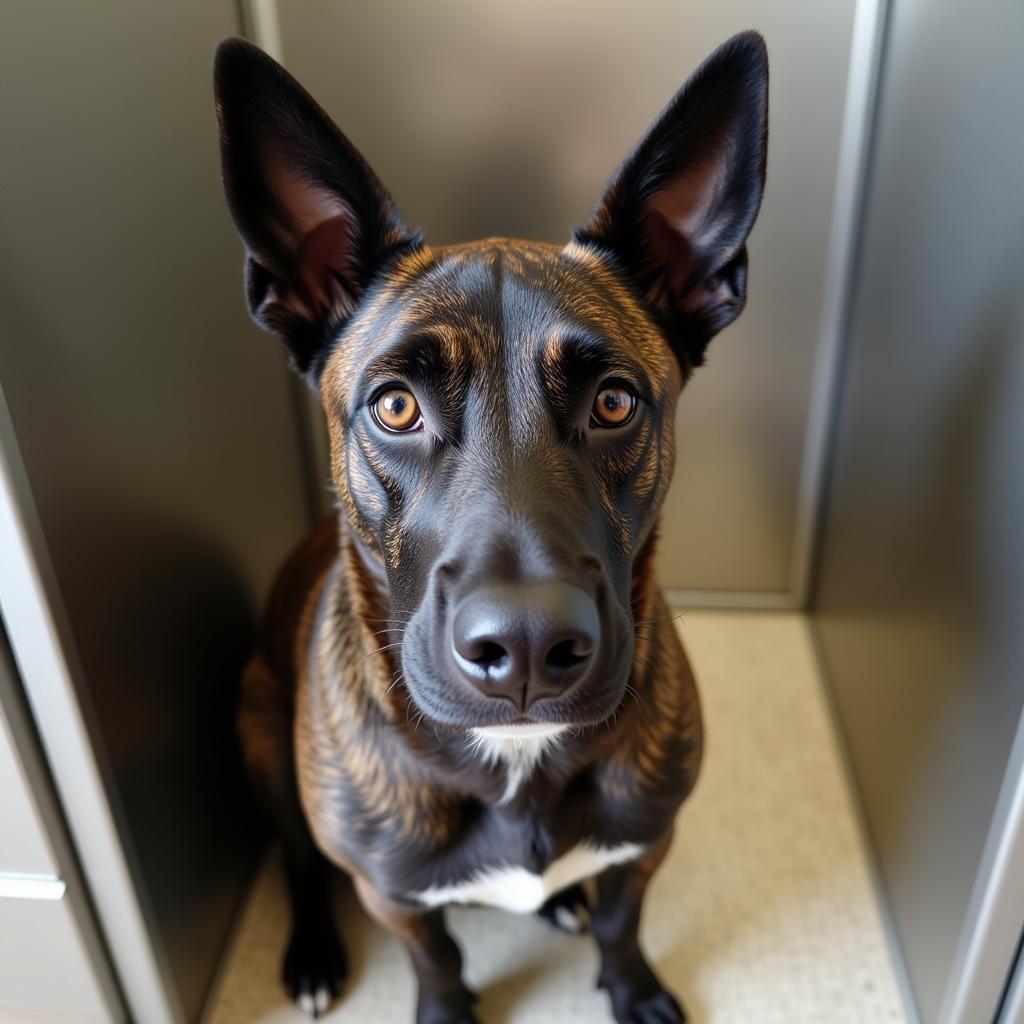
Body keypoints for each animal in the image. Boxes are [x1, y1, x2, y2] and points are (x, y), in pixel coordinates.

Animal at [214, 32, 770, 1024]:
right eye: (395, 406)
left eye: (614, 401)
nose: (528, 649)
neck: (516, 761)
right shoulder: (390, 893)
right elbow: (433, 956)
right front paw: (445, 1007)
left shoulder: (649, 840)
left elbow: (622, 919)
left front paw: (632, 986)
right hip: (260, 732)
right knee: (299, 862)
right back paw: (313, 952)